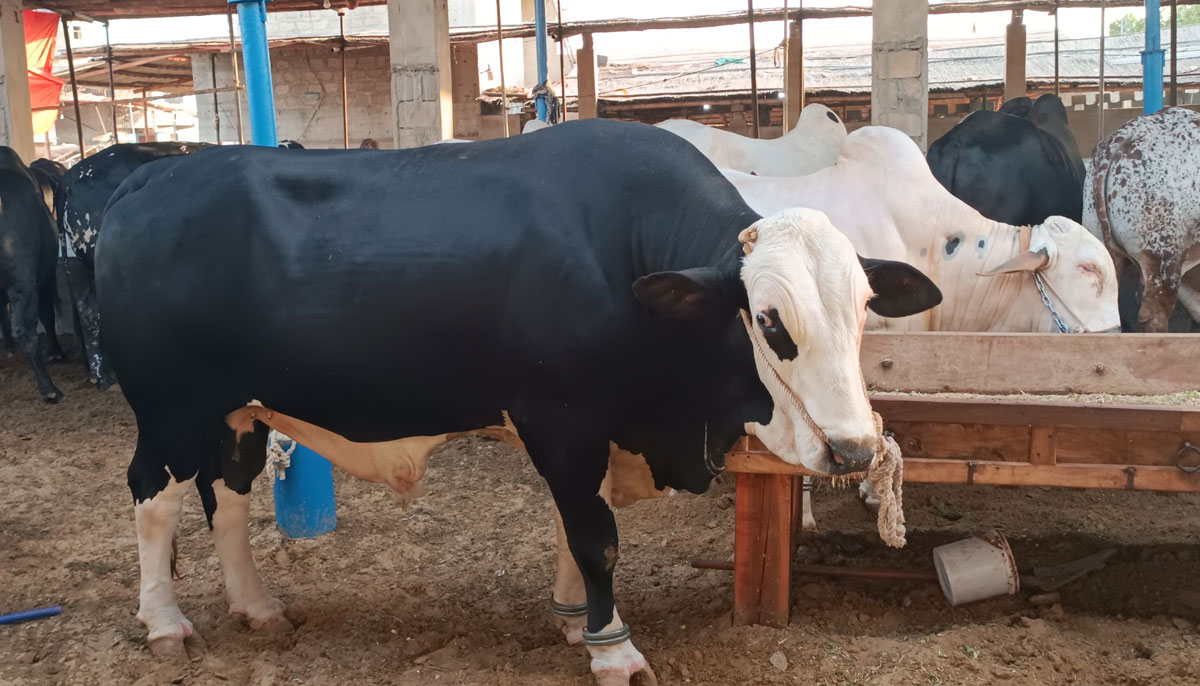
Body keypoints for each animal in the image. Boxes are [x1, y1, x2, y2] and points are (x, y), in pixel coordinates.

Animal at [0, 146, 67, 402]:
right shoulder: (45, 276)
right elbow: (47, 314)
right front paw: (56, 352)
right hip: (24, 284)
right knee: (26, 329)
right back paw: (49, 388)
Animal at [98, 119, 940, 681]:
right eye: (769, 321)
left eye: (864, 305)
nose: (854, 447)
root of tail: (152, 179)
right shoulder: (561, 419)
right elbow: (595, 535)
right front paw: (613, 646)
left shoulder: (597, 429)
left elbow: (574, 527)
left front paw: (576, 623)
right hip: (171, 411)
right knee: (153, 501)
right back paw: (166, 622)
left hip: (237, 411)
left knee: (229, 498)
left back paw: (257, 606)